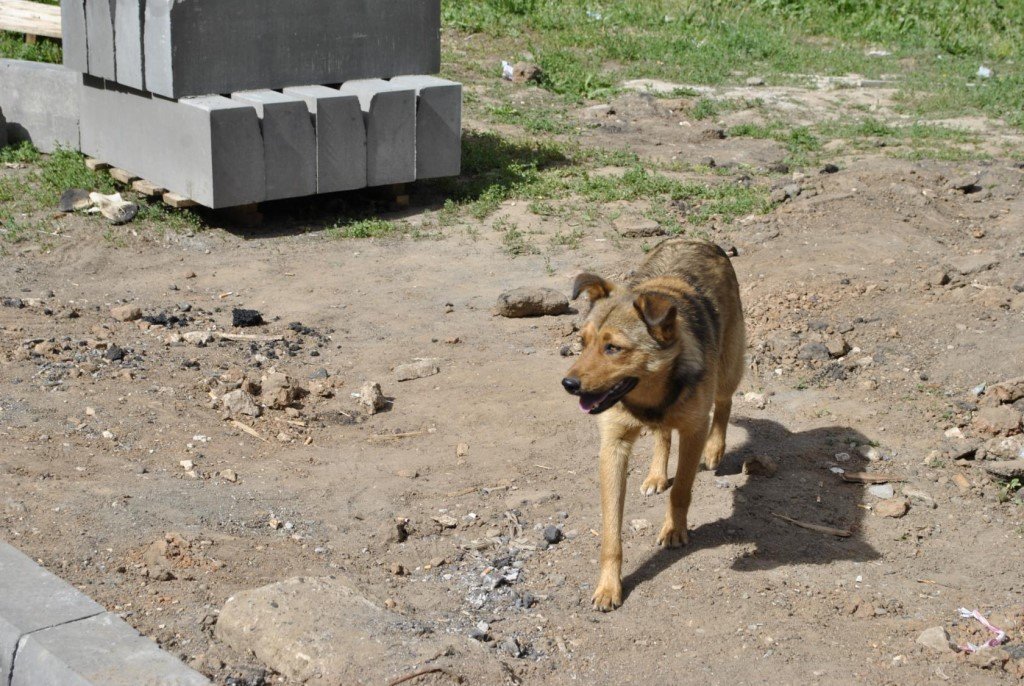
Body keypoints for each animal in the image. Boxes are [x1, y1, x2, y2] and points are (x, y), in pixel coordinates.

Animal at [561, 237, 745, 614]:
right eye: (583, 343)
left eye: (613, 347)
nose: (568, 385)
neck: (649, 397)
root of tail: (697, 238)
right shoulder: (612, 447)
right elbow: (611, 531)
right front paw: (609, 586)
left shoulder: (693, 430)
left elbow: (681, 491)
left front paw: (674, 529)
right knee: (662, 435)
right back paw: (657, 474)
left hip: (728, 366)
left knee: (724, 403)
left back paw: (715, 449)